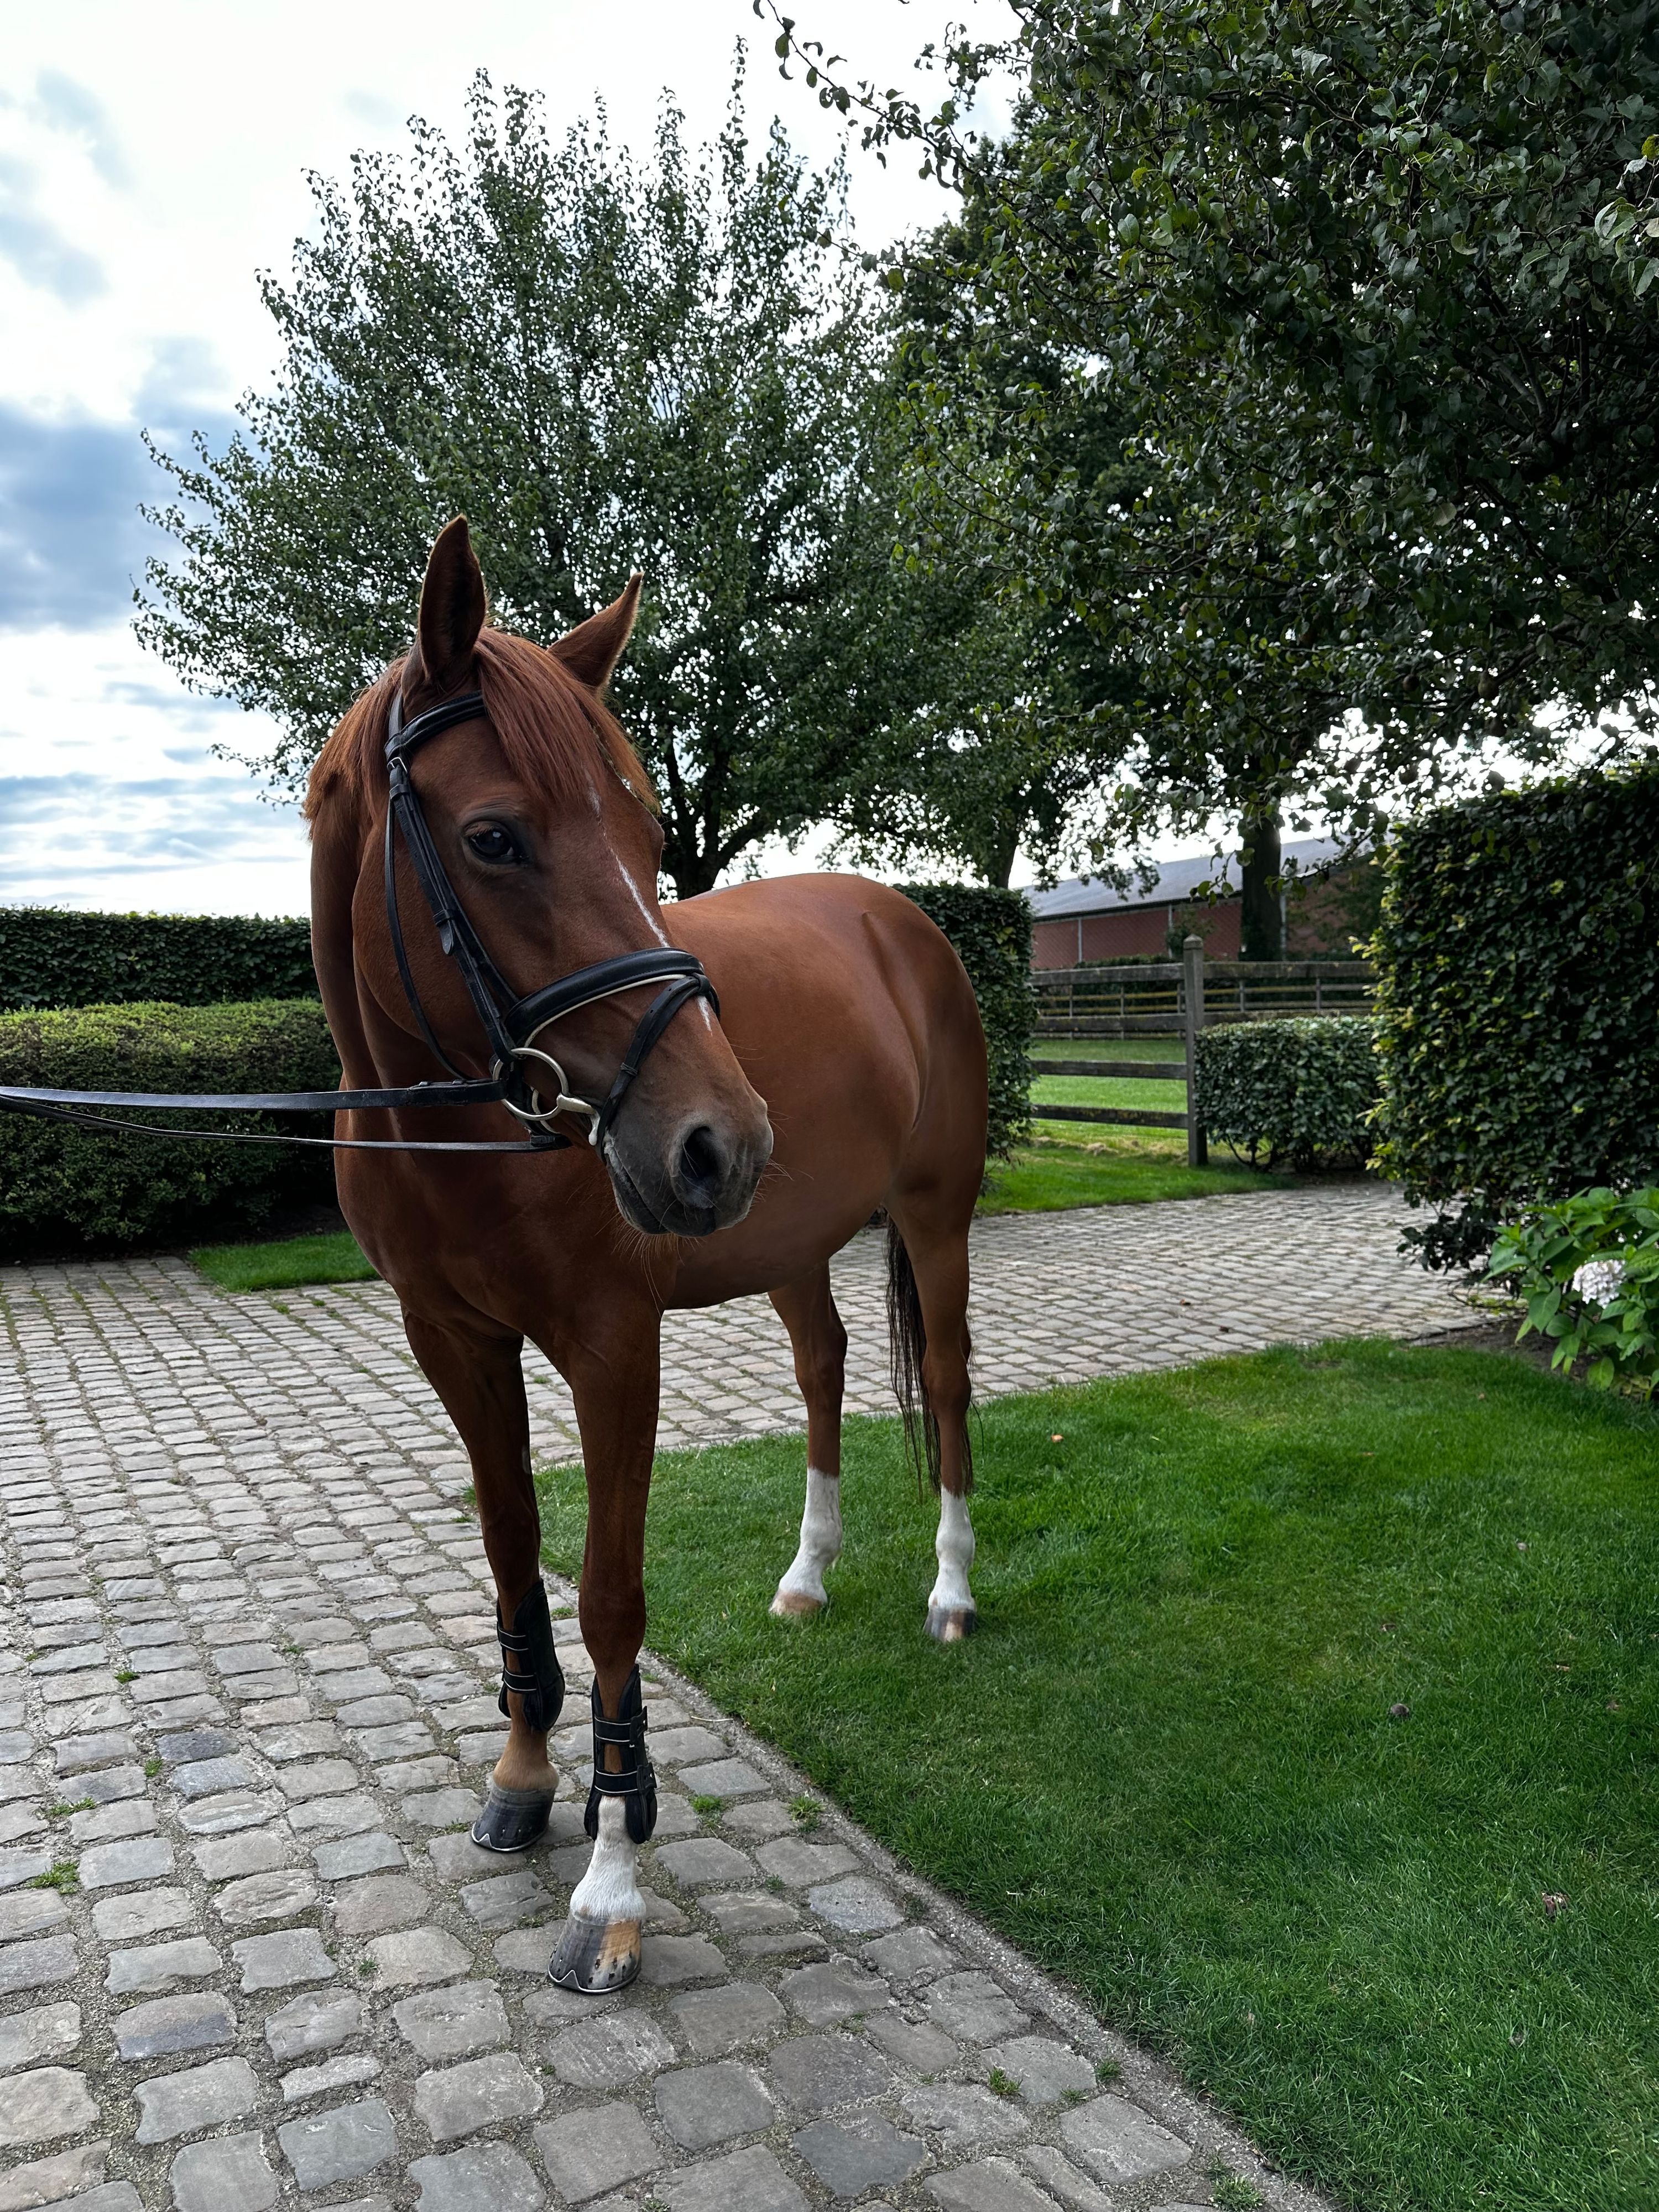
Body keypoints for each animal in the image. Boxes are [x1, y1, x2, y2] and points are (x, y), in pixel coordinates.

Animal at [305, 518, 987, 1995]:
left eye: (646, 833)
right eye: (494, 836)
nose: (717, 1141)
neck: (462, 1123)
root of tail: (902, 922)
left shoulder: (613, 1348)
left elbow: (611, 1597)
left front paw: (612, 1873)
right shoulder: (453, 1343)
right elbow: (514, 1554)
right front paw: (521, 1775)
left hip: (934, 1216)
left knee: (953, 1389)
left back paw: (952, 1590)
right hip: (792, 1243)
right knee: (822, 1368)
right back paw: (807, 1575)